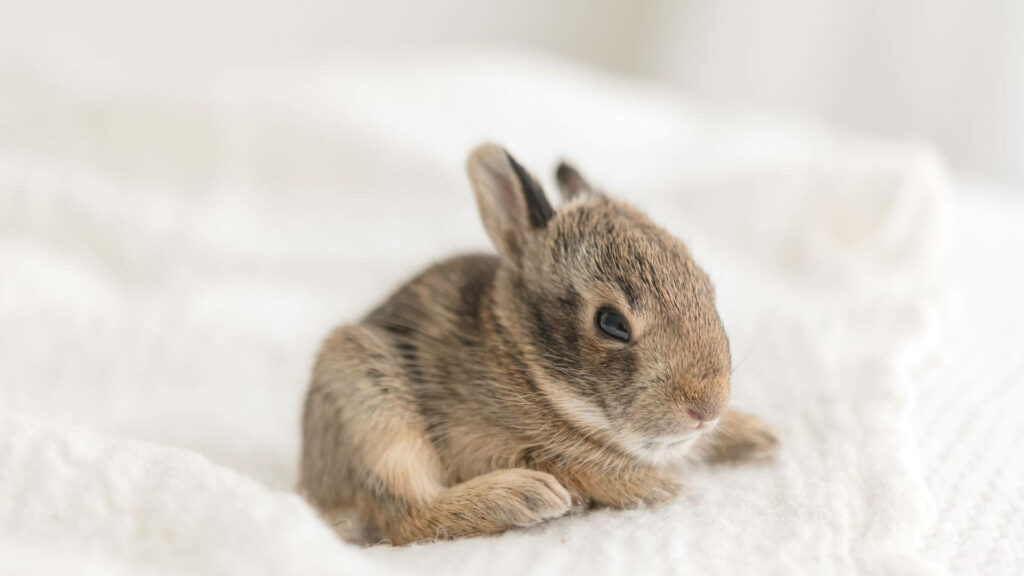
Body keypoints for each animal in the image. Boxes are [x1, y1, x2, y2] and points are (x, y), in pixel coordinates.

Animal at [299, 143, 779, 545]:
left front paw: (757, 434)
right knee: (406, 517)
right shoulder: (483, 444)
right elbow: (570, 463)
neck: (525, 363)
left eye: (706, 288)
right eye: (612, 323)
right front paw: (655, 485)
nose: (706, 410)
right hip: (364, 391)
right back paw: (522, 497)